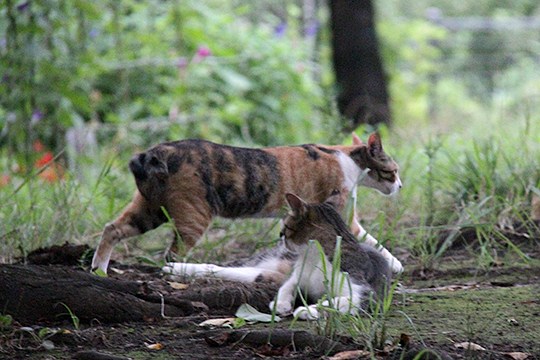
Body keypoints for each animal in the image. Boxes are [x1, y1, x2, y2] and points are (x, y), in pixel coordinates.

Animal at [90, 132, 400, 272]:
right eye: (394, 170)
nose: (400, 186)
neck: (346, 158)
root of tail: (156, 151)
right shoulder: (339, 210)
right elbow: (363, 238)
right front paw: (394, 266)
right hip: (193, 215)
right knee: (172, 255)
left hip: (150, 209)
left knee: (112, 229)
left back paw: (99, 269)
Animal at [162, 193, 390, 320]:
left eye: (286, 226)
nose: (280, 236)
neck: (312, 257)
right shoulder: (296, 275)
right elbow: (287, 286)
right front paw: (280, 304)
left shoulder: (363, 291)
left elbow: (336, 301)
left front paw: (308, 310)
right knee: (221, 267)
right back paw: (175, 268)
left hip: (262, 272)